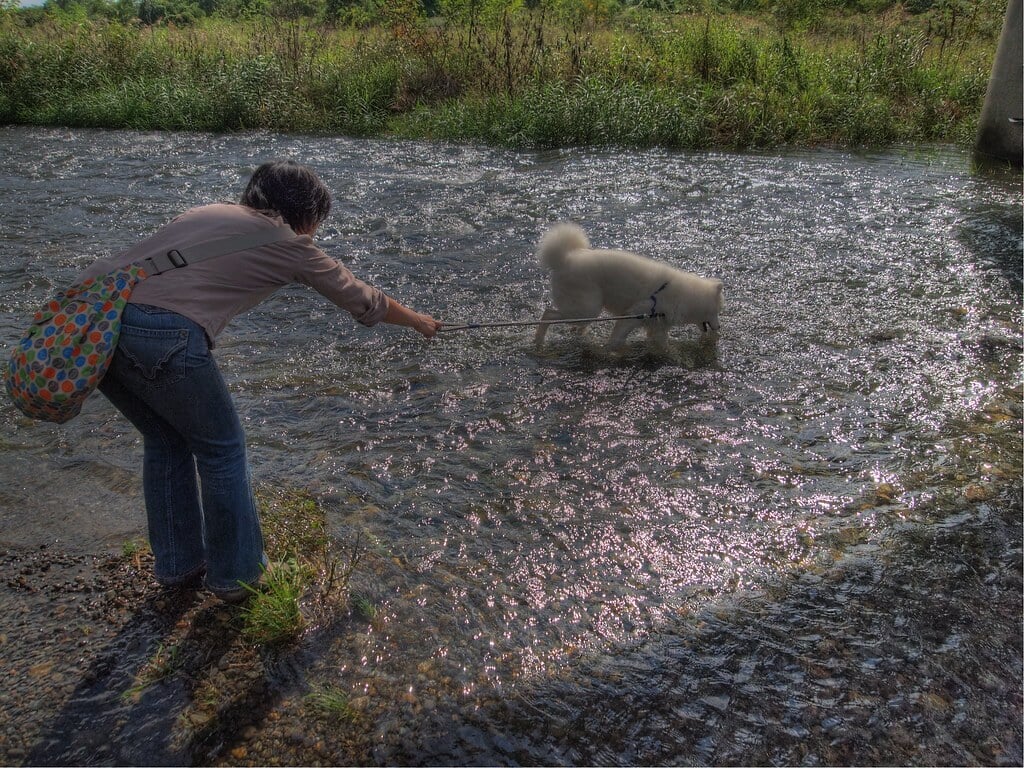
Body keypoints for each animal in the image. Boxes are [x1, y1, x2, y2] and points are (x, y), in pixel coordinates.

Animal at [532, 224, 724, 354]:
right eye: (716, 311)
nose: (719, 327)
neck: (682, 296)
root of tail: (563, 259)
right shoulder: (634, 314)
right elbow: (617, 339)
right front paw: (609, 350)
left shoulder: (656, 325)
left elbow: (662, 345)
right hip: (586, 310)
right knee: (548, 314)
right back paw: (539, 340)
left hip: (585, 312)